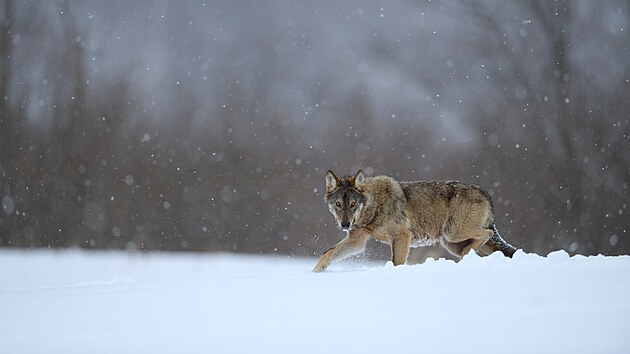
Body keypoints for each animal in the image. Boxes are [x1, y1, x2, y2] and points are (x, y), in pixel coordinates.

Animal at [314, 170, 520, 272]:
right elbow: (327, 253)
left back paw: (468, 253)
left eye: (353, 204)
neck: (374, 206)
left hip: (453, 234)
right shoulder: (356, 240)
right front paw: (314, 273)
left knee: (487, 233)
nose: (345, 224)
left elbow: (396, 263)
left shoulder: (402, 238)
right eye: (338, 204)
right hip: (452, 243)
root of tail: (485, 193)